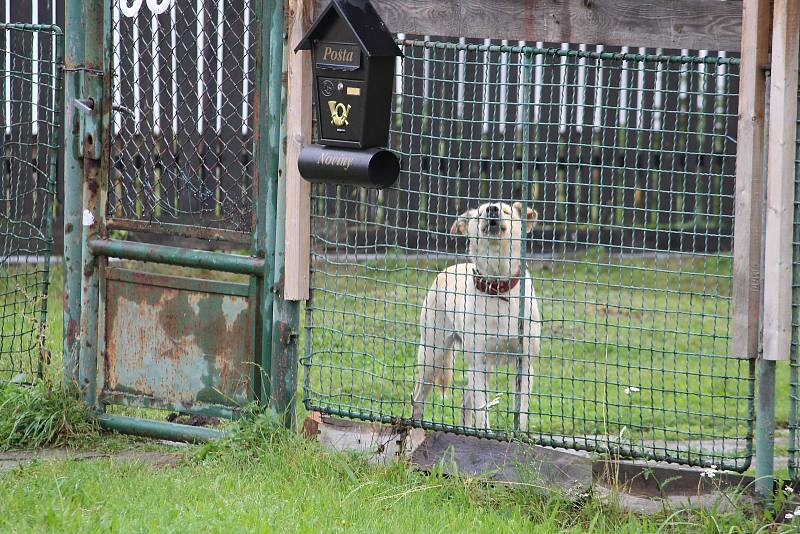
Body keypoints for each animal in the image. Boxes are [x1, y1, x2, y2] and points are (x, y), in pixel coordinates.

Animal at [412, 203, 536, 434]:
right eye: (480, 213)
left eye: (506, 211)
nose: (492, 209)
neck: (498, 286)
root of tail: (447, 269)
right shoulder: (478, 362)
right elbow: (482, 409)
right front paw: (486, 434)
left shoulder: (525, 362)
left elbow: (521, 409)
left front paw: (521, 435)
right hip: (433, 356)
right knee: (417, 398)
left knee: (464, 403)